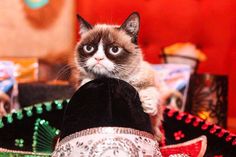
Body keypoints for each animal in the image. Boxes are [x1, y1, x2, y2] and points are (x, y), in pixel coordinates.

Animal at [72, 11, 163, 140]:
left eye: (114, 49)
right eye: (89, 48)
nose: (98, 58)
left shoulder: (147, 77)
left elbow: (151, 90)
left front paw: (149, 105)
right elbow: (84, 83)